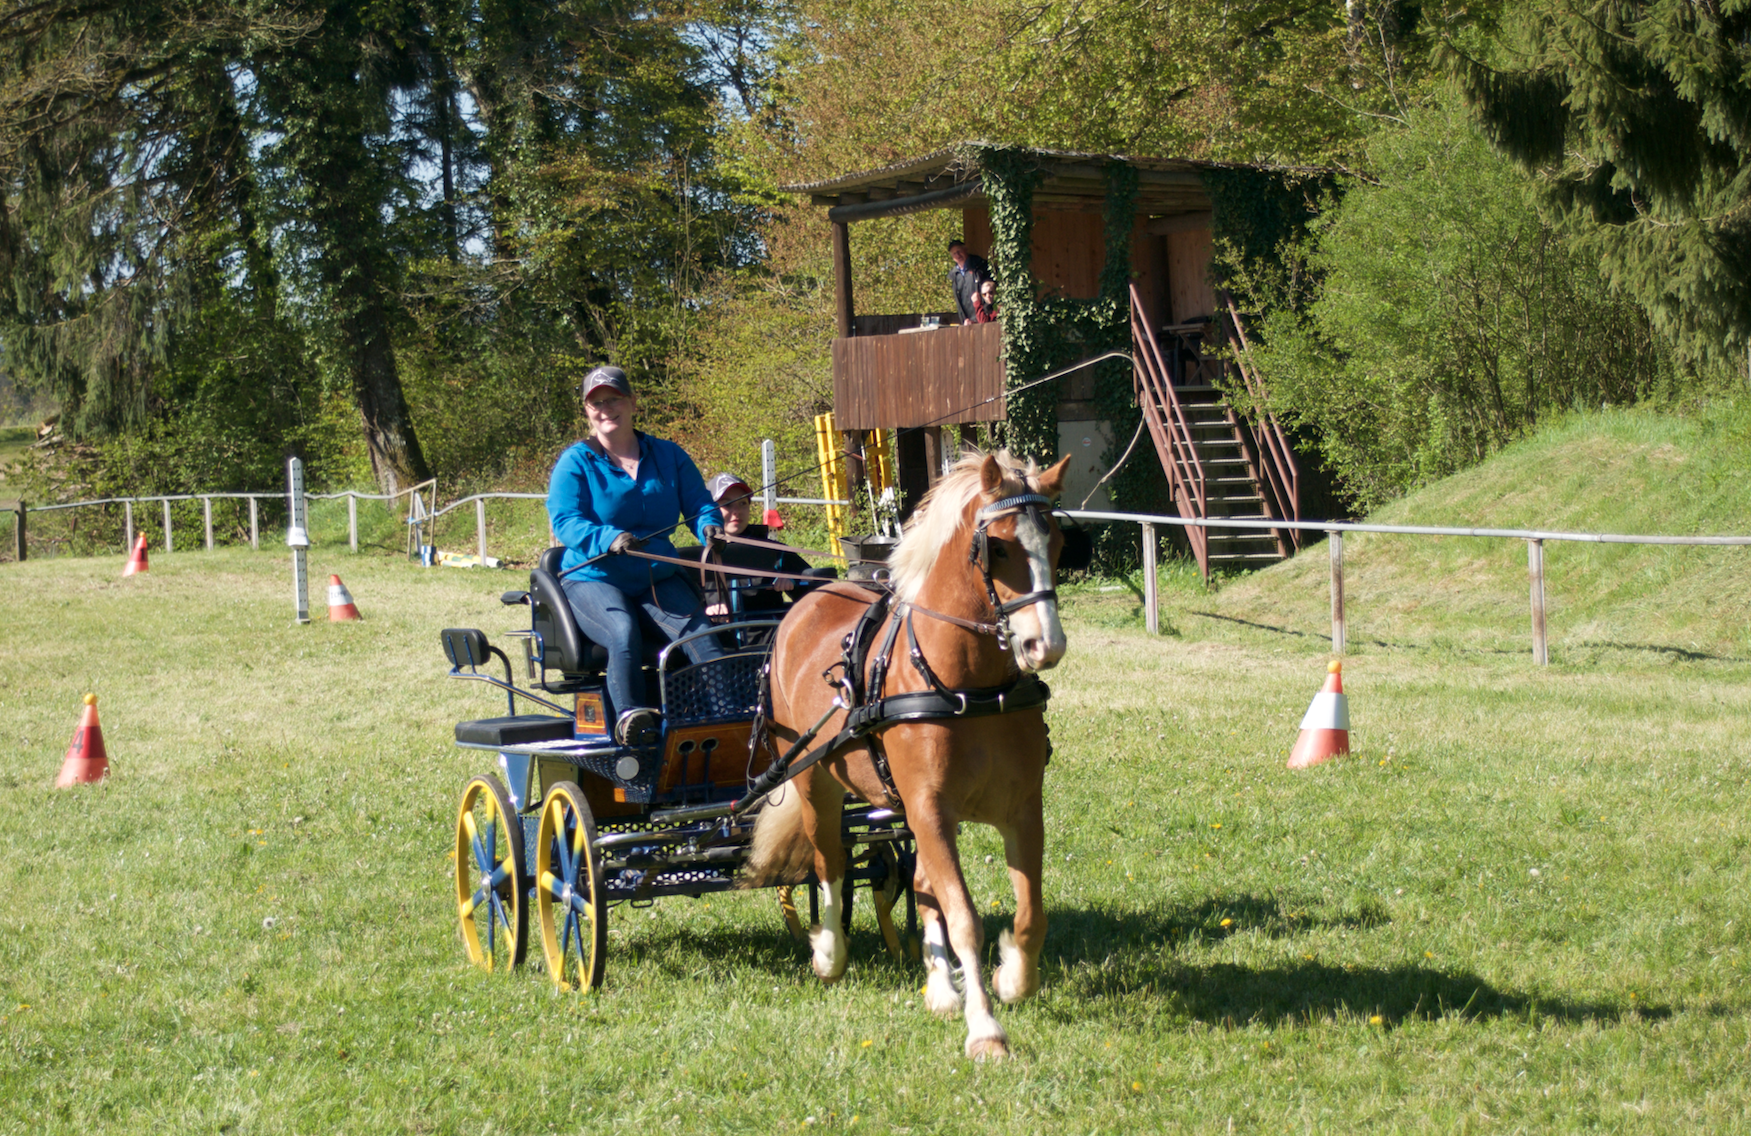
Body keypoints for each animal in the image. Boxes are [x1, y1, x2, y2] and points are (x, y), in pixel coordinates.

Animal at [741, 449, 1073, 1059]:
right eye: (999, 548)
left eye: (1058, 542)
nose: (1046, 645)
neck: (966, 685)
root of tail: (808, 598)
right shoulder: (930, 808)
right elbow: (964, 918)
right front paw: (985, 1030)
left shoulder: (1018, 810)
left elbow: (1029, 913)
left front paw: (1011, 977)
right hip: (816, 784)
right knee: (829, 862)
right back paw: (830, 953)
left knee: (918, 884)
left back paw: (940, 986)